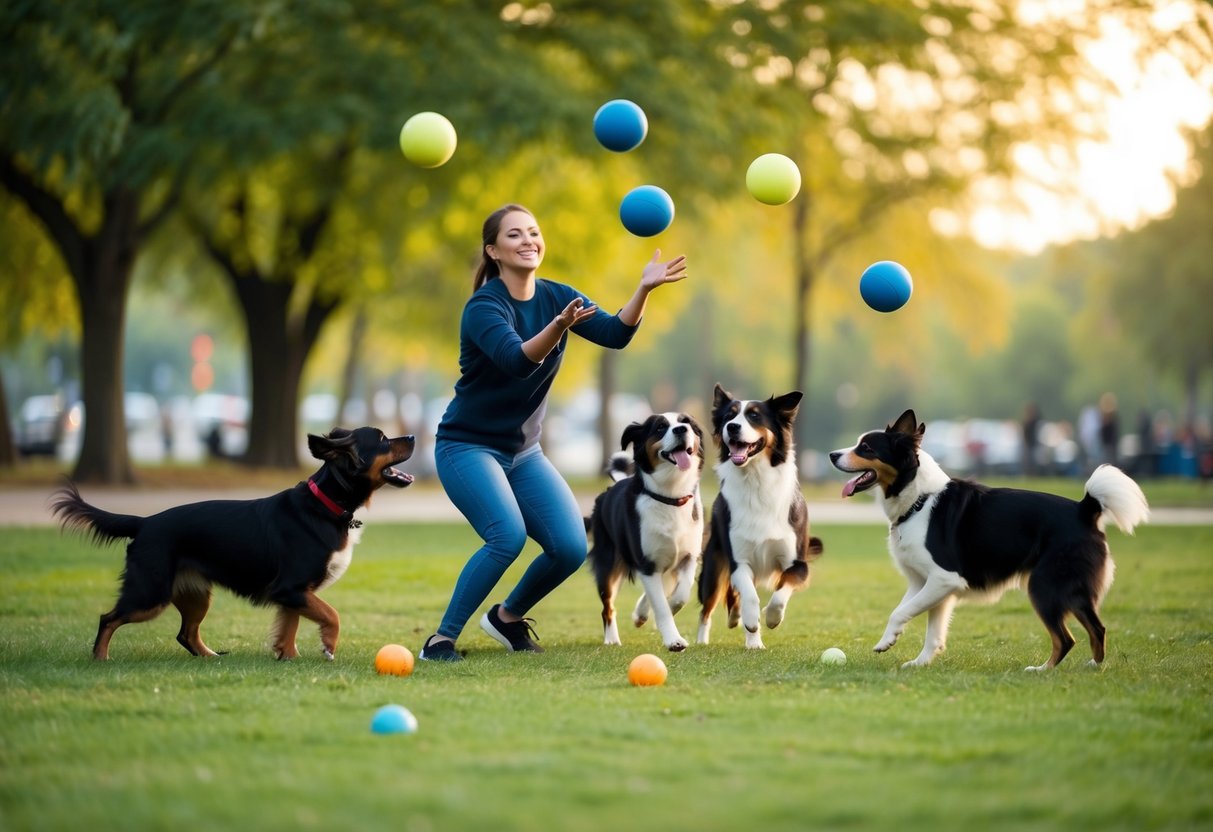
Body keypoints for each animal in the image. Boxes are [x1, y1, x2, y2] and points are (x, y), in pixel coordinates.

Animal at [52, 426, 414, 659]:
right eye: (383, 439)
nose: (411, 436)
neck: (324, 504)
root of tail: (144, 523)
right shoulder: (291, 588)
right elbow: (332, 614)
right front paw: (328, 645)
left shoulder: (293, 593)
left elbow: (290, 627)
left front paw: (288, 657)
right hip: (150, 592)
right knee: (108, 619)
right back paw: (100, 658)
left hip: (194, 595)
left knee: (186, 634)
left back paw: (211, 657)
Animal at [584, 414, 708, 654]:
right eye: (660, 428)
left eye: (686, 422)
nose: (681, 429)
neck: (670, 496)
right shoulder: (647, 563)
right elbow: (661, 605)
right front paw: (674, 640)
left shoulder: (688, 557)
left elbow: (680, 595)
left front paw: (654, 611)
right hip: (609, 563)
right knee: (608, 607)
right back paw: (612, 639)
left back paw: (641, 613)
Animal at [829, 414, 1149, 674]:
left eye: (866, 448)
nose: (832, 454)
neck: (919, 500)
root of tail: (1085, 508)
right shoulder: (926, 583)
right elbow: (930, 629)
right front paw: (918, 661)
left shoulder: (944, 578)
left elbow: (899, 612)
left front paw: (888, 641)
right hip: (1071, 590)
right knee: (1098, 628)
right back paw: (1093, 666)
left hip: (1044, 586)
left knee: (1066, 638)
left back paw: (1041, 670)